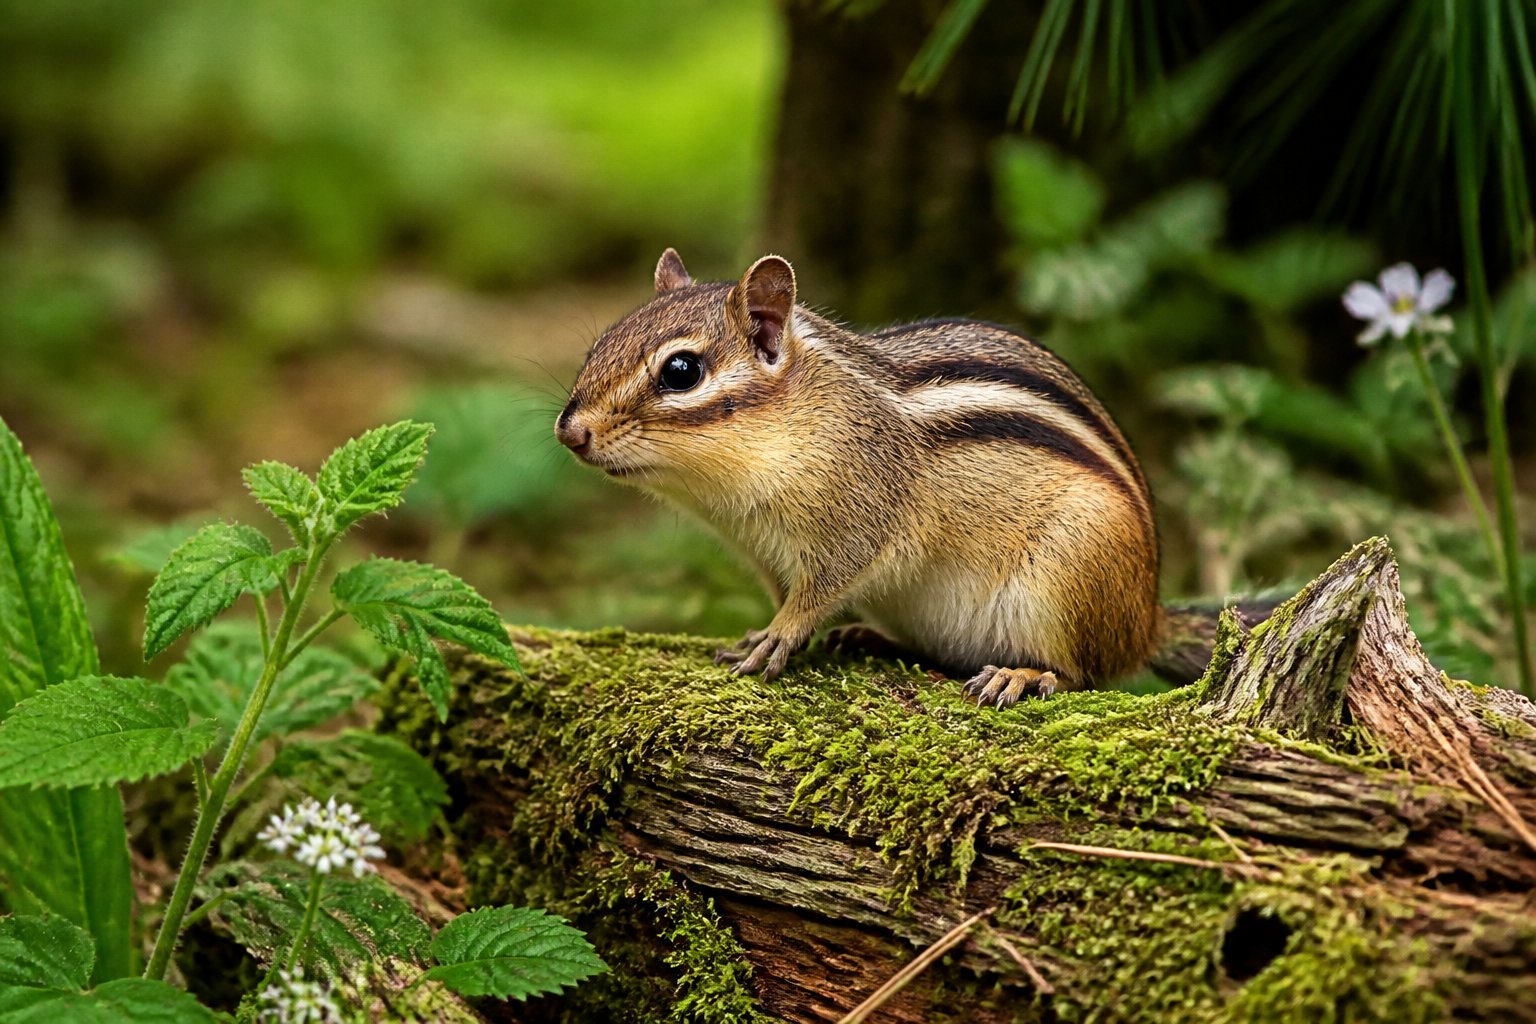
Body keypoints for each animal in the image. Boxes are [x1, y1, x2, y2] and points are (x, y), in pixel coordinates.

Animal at [555, 248, 1233, 706]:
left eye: (682, 371)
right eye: (598, 347)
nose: (570, 432)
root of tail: (1146, 619)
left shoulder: (858, 517)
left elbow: (818, 592)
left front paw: (778, 636)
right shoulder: (765, 553)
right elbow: (786, 595)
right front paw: (764, 632)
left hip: (1067, 582)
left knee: (1083, 674)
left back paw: (1022, 673)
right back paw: (870, 638)